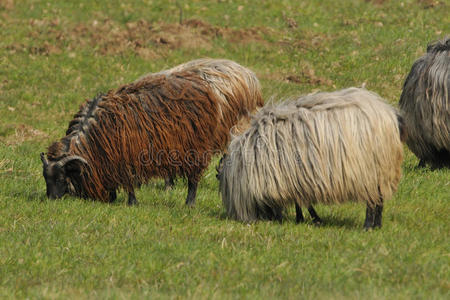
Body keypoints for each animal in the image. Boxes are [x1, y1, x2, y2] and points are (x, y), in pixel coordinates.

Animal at [42, 71, 232, 205]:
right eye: (45, 178)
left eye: (60, 178)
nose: (51, 200)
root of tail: (202, 85)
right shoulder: (108, 159)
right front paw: (112, 198)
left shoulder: (124, 158)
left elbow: (128, 182)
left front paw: (132, 202)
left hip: (195, 150)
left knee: (193, 179)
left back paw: (189, 203)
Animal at [218, 88, 404, 229]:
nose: (270, 219)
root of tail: (387, 114)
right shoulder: (297, 177)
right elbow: (300, 201)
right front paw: (303, 219)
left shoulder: (295, 176)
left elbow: (303, 201)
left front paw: (312, 219)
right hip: (380, 172)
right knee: (379, 200)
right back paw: (377, 226)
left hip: (372, 171)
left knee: (373, 201)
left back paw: (368, 226)